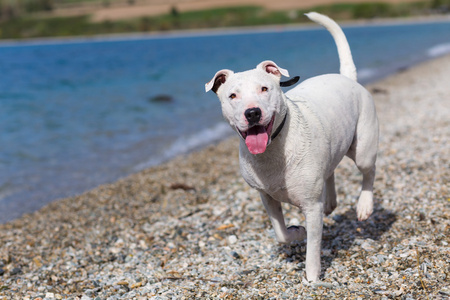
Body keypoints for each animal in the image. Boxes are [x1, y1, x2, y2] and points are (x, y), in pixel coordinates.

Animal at [206, 12, 378, 284]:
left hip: (363, 147)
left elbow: (313, 247)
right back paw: (331, 202)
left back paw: (364, 206)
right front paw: (297, 231)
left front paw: (312, 277)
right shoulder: (267, 197)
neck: (273, 149)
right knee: (330, 171)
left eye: (265, 88)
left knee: (368, 172)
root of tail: (347, 78)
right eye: (232, 96)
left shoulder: (311, 206)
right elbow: (281, 232)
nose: (252, 112)